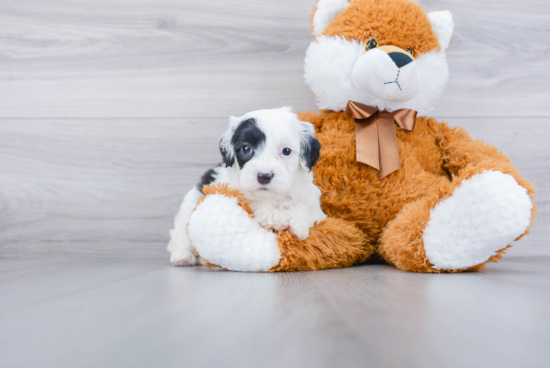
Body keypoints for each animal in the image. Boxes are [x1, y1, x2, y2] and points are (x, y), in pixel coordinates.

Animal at [166, 105, 326, 264]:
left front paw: (297, 222)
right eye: (247, 149)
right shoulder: (229, 187)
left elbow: (306, 207)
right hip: (187, 212)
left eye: (286, 151)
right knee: (180, 236)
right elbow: (250, 198)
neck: (272, 196)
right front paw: (272, 216)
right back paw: (182, 256)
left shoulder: (311, 198)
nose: (264, 176)